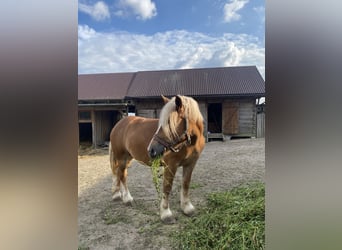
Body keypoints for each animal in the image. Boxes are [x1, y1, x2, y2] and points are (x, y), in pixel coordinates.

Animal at [109, 94, 204, 222]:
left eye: (169, 123)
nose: (151, 150)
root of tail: (119, 124)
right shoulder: (171, 165)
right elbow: (167, 187)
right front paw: (166, 214)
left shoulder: (190, 164)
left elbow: (185, 184)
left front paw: (187, 208)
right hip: (121, 158)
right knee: (121, 175)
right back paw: (127, 199)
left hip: (128, 158)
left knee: (121, 174)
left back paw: (120, 195)